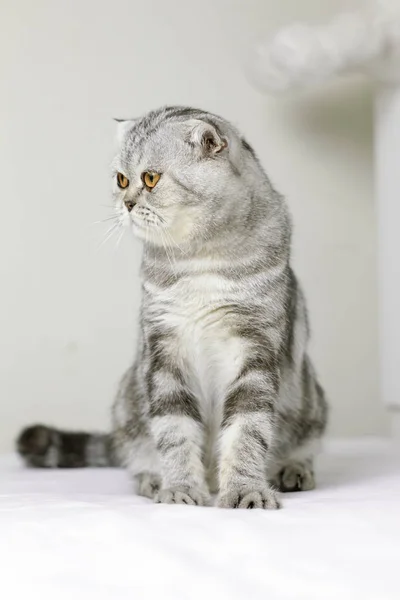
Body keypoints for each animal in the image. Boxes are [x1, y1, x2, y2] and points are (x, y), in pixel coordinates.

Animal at [16, 105, 328, 508]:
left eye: (150, 178)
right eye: (121, 180)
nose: (127, 203)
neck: (199, 259)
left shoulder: (255, 347)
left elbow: (247, 430)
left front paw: (245, 490)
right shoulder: (164, 347)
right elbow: (174, 430)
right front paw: (180, 489)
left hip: (311, 403)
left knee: (303, 445)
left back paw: (293, 471)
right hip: (128, 404)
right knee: (136, 452)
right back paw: (152, 480)